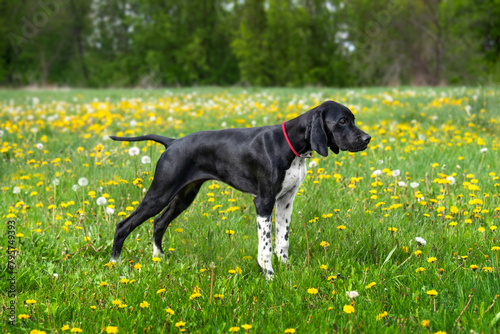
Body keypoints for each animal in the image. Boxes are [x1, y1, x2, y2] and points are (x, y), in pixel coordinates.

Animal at [109, 100, 372, 278]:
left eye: (353, 119)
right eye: (342, 121)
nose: (367, 138)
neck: (290, 146)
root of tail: (172, 142)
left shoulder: (286, 201)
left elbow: (282, 241)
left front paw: (286, 270)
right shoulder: (264, 202)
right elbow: (265, 248)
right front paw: (269, 276)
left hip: (184, 196)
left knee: (159, 223)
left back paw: (159, 258)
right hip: (160, 193)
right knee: (124, 225)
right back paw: (115, 263)